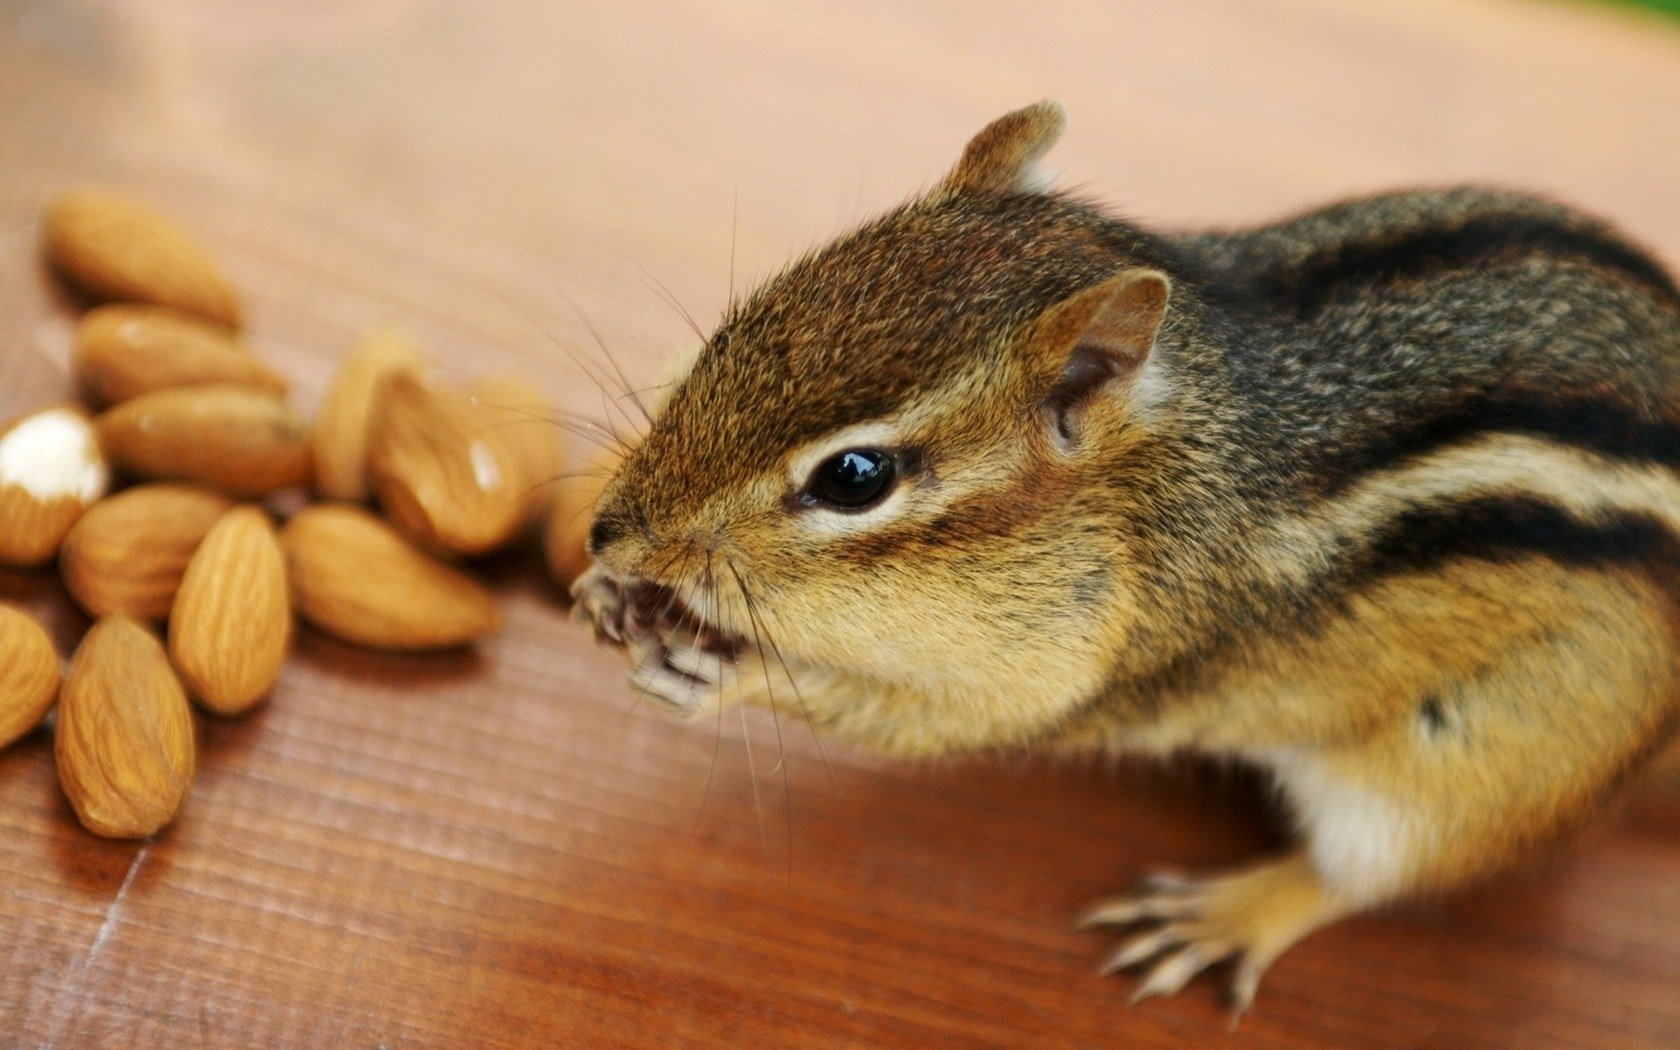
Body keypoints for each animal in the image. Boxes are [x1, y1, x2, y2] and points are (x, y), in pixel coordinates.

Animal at [570, 100, 1680, 1011]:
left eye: (854, 477)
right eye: (734, 329)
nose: (609, 532)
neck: (1150, 475)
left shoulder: (1084, 667)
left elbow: (933, 721)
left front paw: (724, 670)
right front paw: (600, 589)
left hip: (1479, 762)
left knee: (1363, 870)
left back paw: (1227, 912)